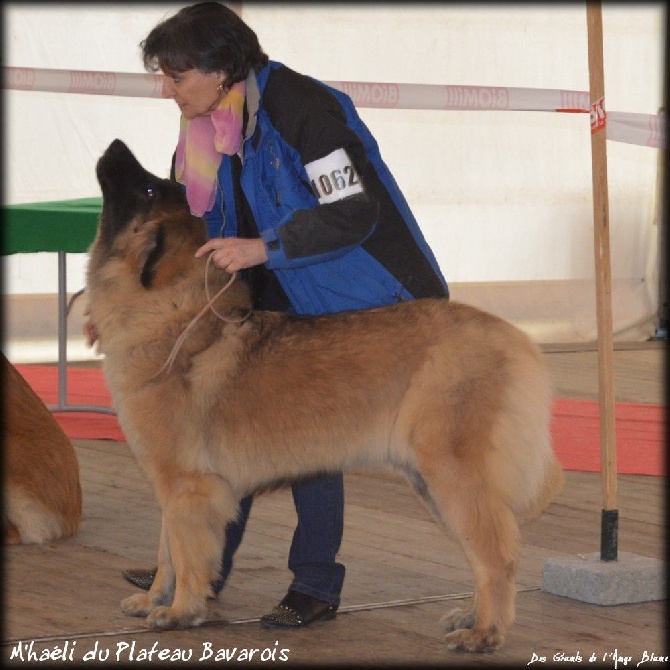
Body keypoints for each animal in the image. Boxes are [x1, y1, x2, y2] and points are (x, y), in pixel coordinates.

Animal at [85, 139, 568, 652]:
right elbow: (167, 552)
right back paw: (471, 617)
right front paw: (154, 599)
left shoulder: (187, 485)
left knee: (496, 554)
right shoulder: (172, 486)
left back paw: (485, 633)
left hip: (452, 473)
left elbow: (185, 553)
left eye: (148, 188)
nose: (115, 146)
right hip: (433, 482)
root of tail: (516, 339)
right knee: (483, 553)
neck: (172, 316)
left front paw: (180, 611)